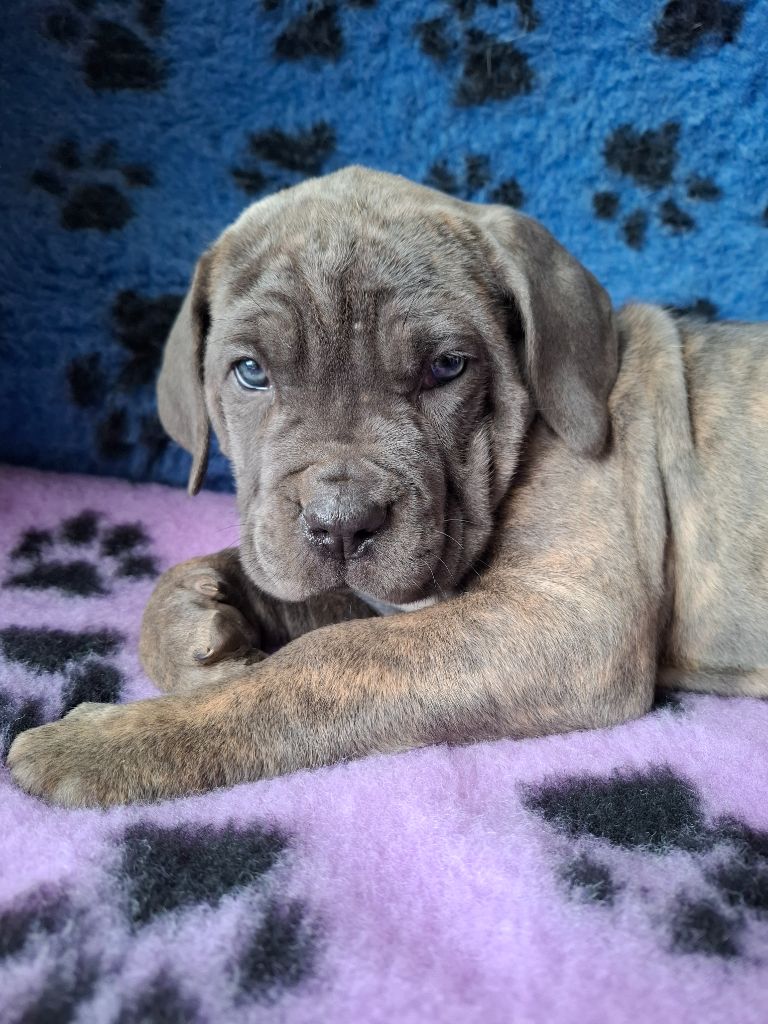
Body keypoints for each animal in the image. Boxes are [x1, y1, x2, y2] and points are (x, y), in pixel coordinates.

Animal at [8, 166, 768, 807]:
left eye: (447, 367)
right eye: (251, 372)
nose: (342, 521)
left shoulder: (568, 616)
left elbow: (324, 662)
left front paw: (108, 743)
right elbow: (258, 582)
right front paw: (195, 621)